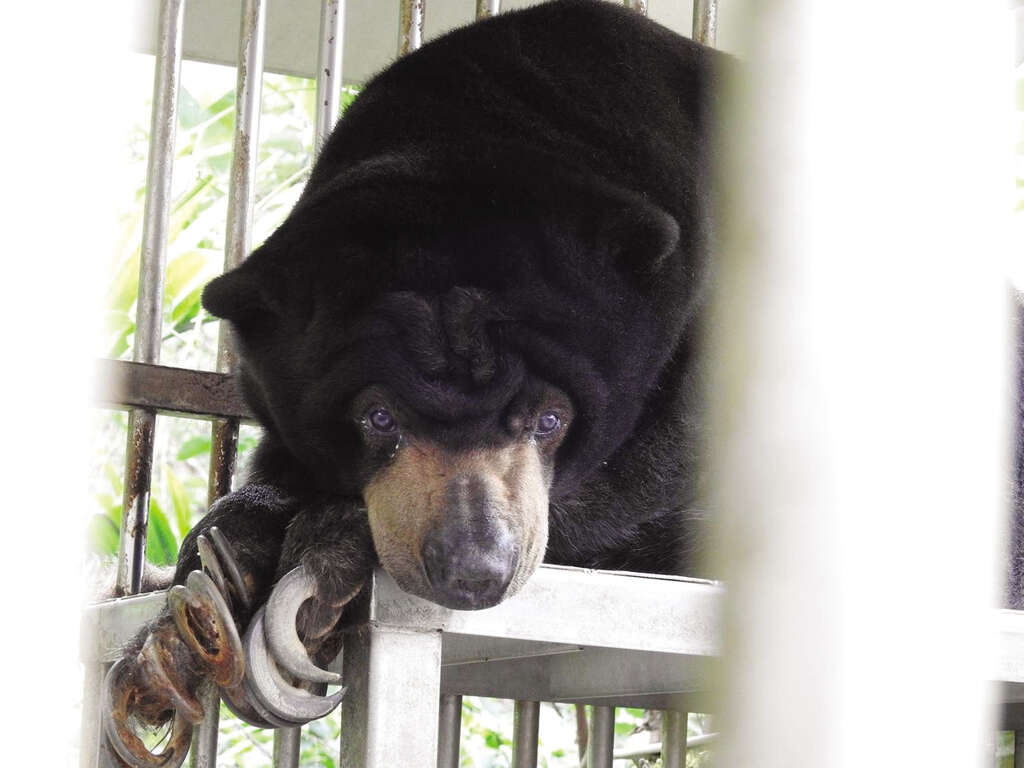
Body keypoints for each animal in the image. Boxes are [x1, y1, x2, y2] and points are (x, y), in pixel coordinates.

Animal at [102, 0, 723, 761]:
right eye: (378, 418)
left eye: (551, 418)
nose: (474, 571)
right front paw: (222, 560)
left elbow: (662, 460)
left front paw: (331, 542)